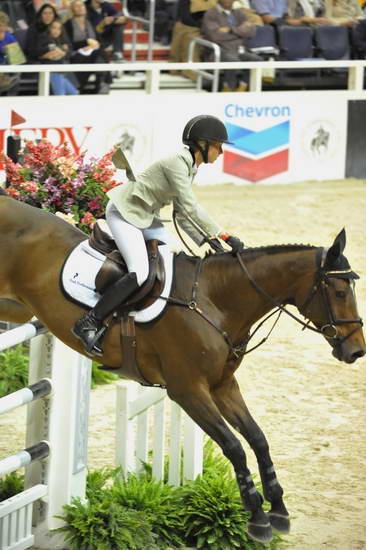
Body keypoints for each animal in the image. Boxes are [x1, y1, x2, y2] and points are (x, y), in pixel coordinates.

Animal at [0, 192, 364, 544]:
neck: (215, 302)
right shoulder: (188, 392)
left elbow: (258, 439)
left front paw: (279, 511)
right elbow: (234, 447)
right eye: (339, 291)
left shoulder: (223, 386)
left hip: (18, 308)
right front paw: (257, 519)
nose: (357, 350)